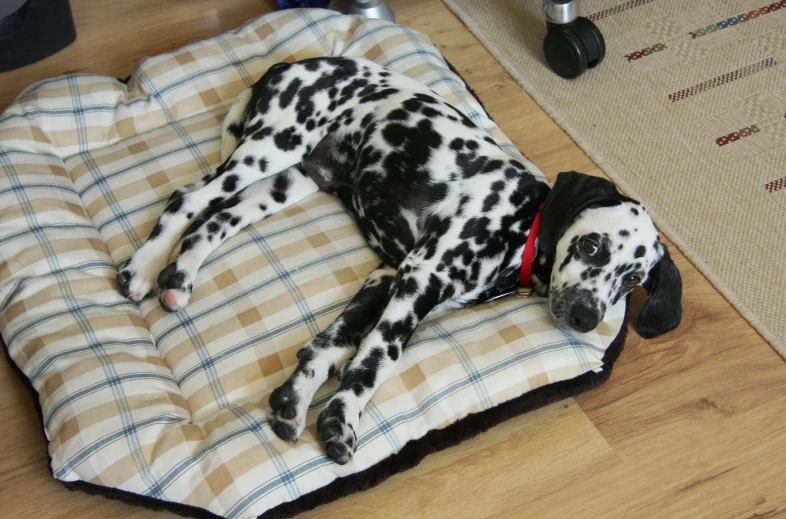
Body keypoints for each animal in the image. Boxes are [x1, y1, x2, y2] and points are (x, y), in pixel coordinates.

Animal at [116, 58, 680, 468]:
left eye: (633, 278)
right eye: (593, 246)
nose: (587, 317)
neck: (522, 222)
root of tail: (286, 65)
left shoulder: (386, 277)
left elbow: (331, 345)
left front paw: (296, 400)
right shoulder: (417, 279)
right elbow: (375, 359)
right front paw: (342, 418)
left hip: (281, 185)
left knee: (212, 221)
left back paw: (179, 276)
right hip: (268, 151)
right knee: (186, 200)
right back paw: (142, 269)